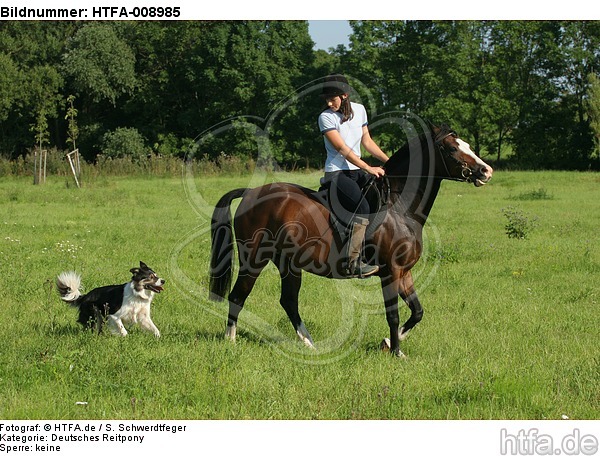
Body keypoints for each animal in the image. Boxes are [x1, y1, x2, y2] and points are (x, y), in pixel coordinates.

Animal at [207, 123, 492, 358]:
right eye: (452, 148)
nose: (486, 171)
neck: (399, 208)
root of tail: (251, 193)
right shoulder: (391, 272)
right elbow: (393, 314)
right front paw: (395, 352)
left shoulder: (404, 272)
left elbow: (417, 311)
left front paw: (389, 344)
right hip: (254, 260)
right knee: (238, 296)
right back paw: (230, 341)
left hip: (289, 264)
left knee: (288, 301)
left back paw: (310, 344)